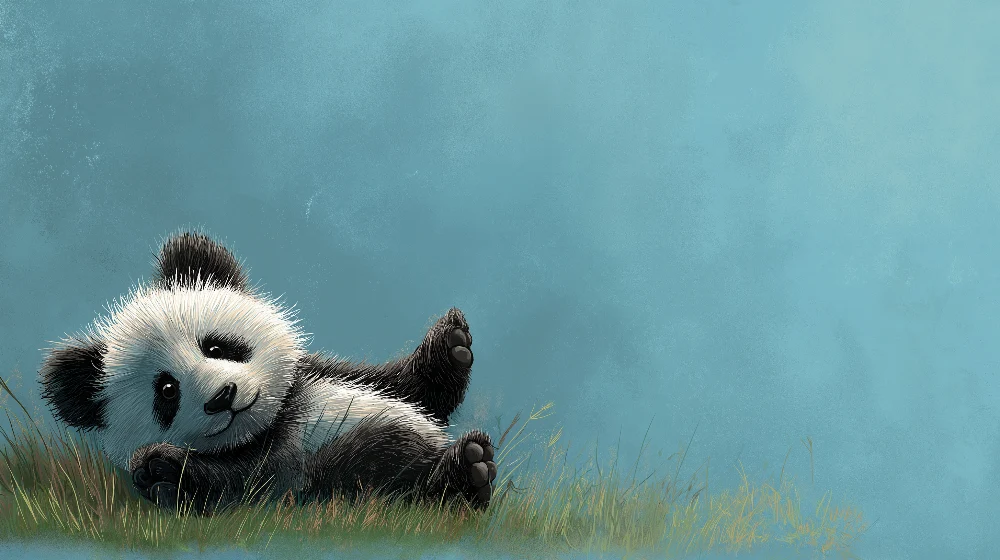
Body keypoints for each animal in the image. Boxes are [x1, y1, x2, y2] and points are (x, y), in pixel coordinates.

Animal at [38, 231, 498, 514]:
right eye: (167, 390)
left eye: (216, 346)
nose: (222, 397)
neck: (276, 419)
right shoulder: (282, 472)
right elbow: (244, 485)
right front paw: (162, 472)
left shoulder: (324, 374)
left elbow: (414, 390)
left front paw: (452, 342)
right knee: (385, 471)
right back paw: (465, 470)